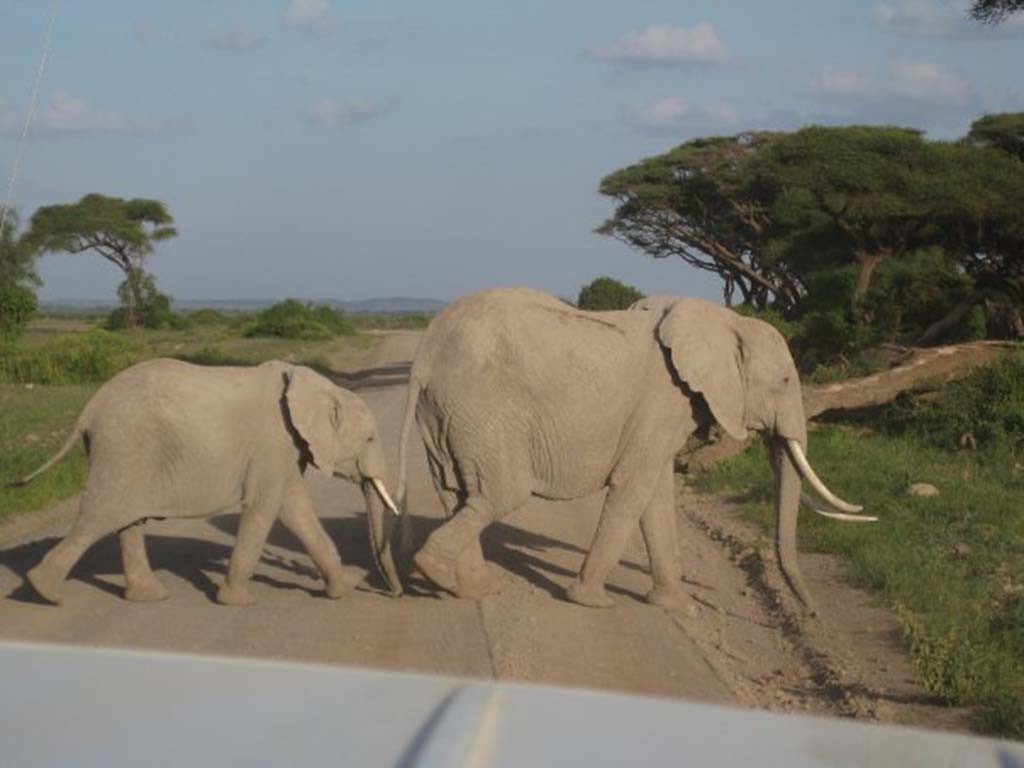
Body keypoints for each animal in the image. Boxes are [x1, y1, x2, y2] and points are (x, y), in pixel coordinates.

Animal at [11, 358, 403, 606]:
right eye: (370, 438)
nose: (395, 595)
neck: (318, 385)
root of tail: (89, 408)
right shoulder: (273, 442)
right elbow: (265, 508)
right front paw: (237, 602)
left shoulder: (287, 450)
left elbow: (296, 510)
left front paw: (343, 589)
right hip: (123, 446)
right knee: (100, 515)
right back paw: (43, 593)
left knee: (127, 520)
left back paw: (149, 597)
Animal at [395, 287, 872, 613]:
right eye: (787, 381)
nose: (812, 613)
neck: (725, 319)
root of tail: (425, 355)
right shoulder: (664, 400)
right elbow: (634, 488)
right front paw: (590, 601)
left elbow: (657, 497)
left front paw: (678, 607)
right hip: (483, 409)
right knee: (499, 494)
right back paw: (438, 573)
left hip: (446, 414)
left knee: (457, 494)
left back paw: (467, 587)